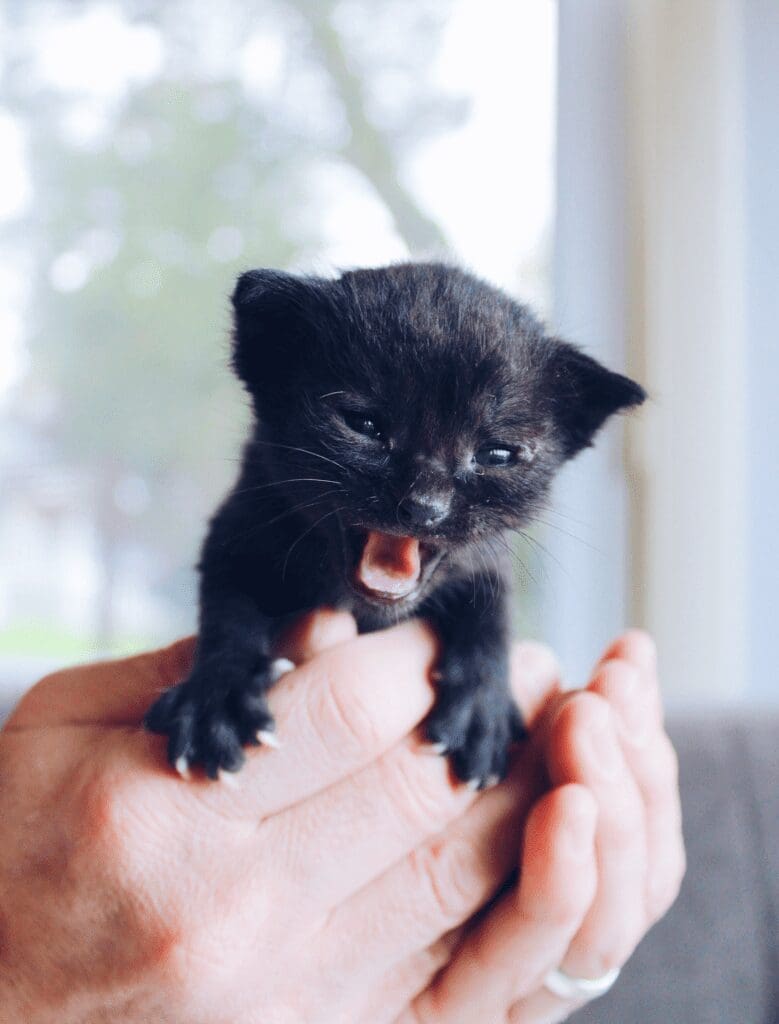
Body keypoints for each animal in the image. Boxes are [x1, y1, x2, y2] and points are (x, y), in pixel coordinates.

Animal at [145, 260, 642, 786]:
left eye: (496, 454)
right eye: (364, 425)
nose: (425, 505)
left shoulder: (487, 563)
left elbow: (492, 618)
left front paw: (480, 710)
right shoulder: (237, 534)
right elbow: (229, 616)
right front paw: (215, 703)